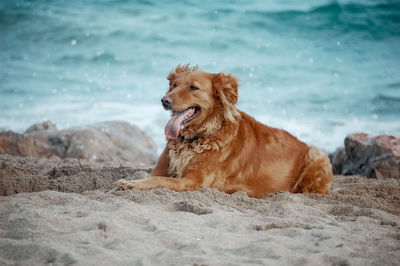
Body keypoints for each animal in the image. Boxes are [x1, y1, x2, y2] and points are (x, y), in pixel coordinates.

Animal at [116, 64, 334, 197]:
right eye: (174, 85)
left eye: (193, 87)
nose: (164, 100)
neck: (198, 137)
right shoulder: (163, 168)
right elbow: (150, 176)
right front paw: (133, 180)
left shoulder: (192, 181)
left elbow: (158, 181)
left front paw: (132, 184)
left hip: (317, 154)